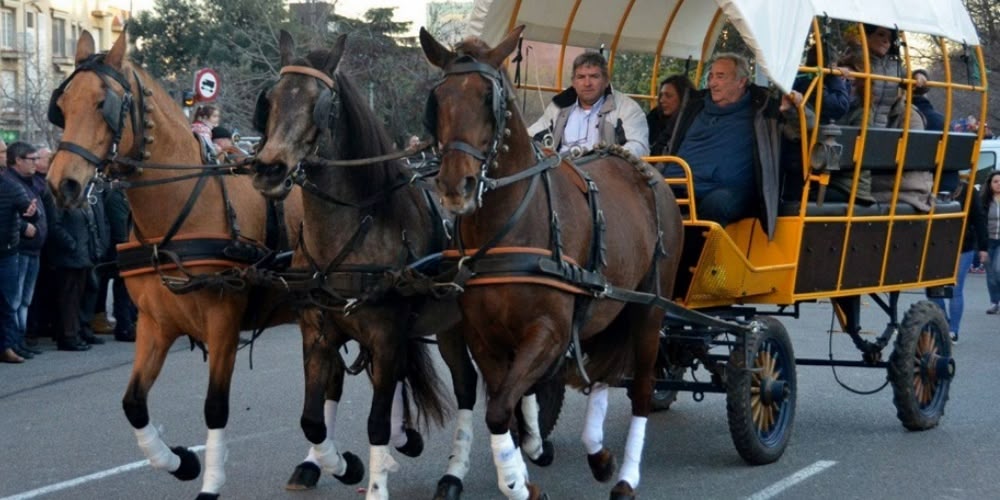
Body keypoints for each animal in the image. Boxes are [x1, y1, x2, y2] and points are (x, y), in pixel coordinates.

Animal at [47, 31, 302, 500]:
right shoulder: (155, 322)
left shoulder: (222, 321)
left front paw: (210, 479)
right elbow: (133, 403)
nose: (63, 185)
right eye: (64, 105)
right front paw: (180, 461)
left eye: (104, 103)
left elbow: (215, 407)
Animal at [252, 31, 466, 496]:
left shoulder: (386, 334)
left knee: (471, 388)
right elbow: (313, 419)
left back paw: (458, 471)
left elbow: (375, 423)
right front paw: (343, 464)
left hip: (456, 329)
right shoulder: (318, 333)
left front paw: (375, 482)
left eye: (321, 104)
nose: (268, 169)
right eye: (270, 99)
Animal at [422, 28, 688, 500]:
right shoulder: (484, 337)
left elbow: (500, 409)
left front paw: (515, 482)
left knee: (640, 388)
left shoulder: (549, 331)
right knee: (600, 375)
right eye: (439, 99)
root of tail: (649, 172)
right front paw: (524, 466)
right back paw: (598, 454)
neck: (513, 226)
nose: (456, 186)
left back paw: (626, 477)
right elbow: (504, 407)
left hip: (649, 307)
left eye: (489, 99)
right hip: (606, 308)